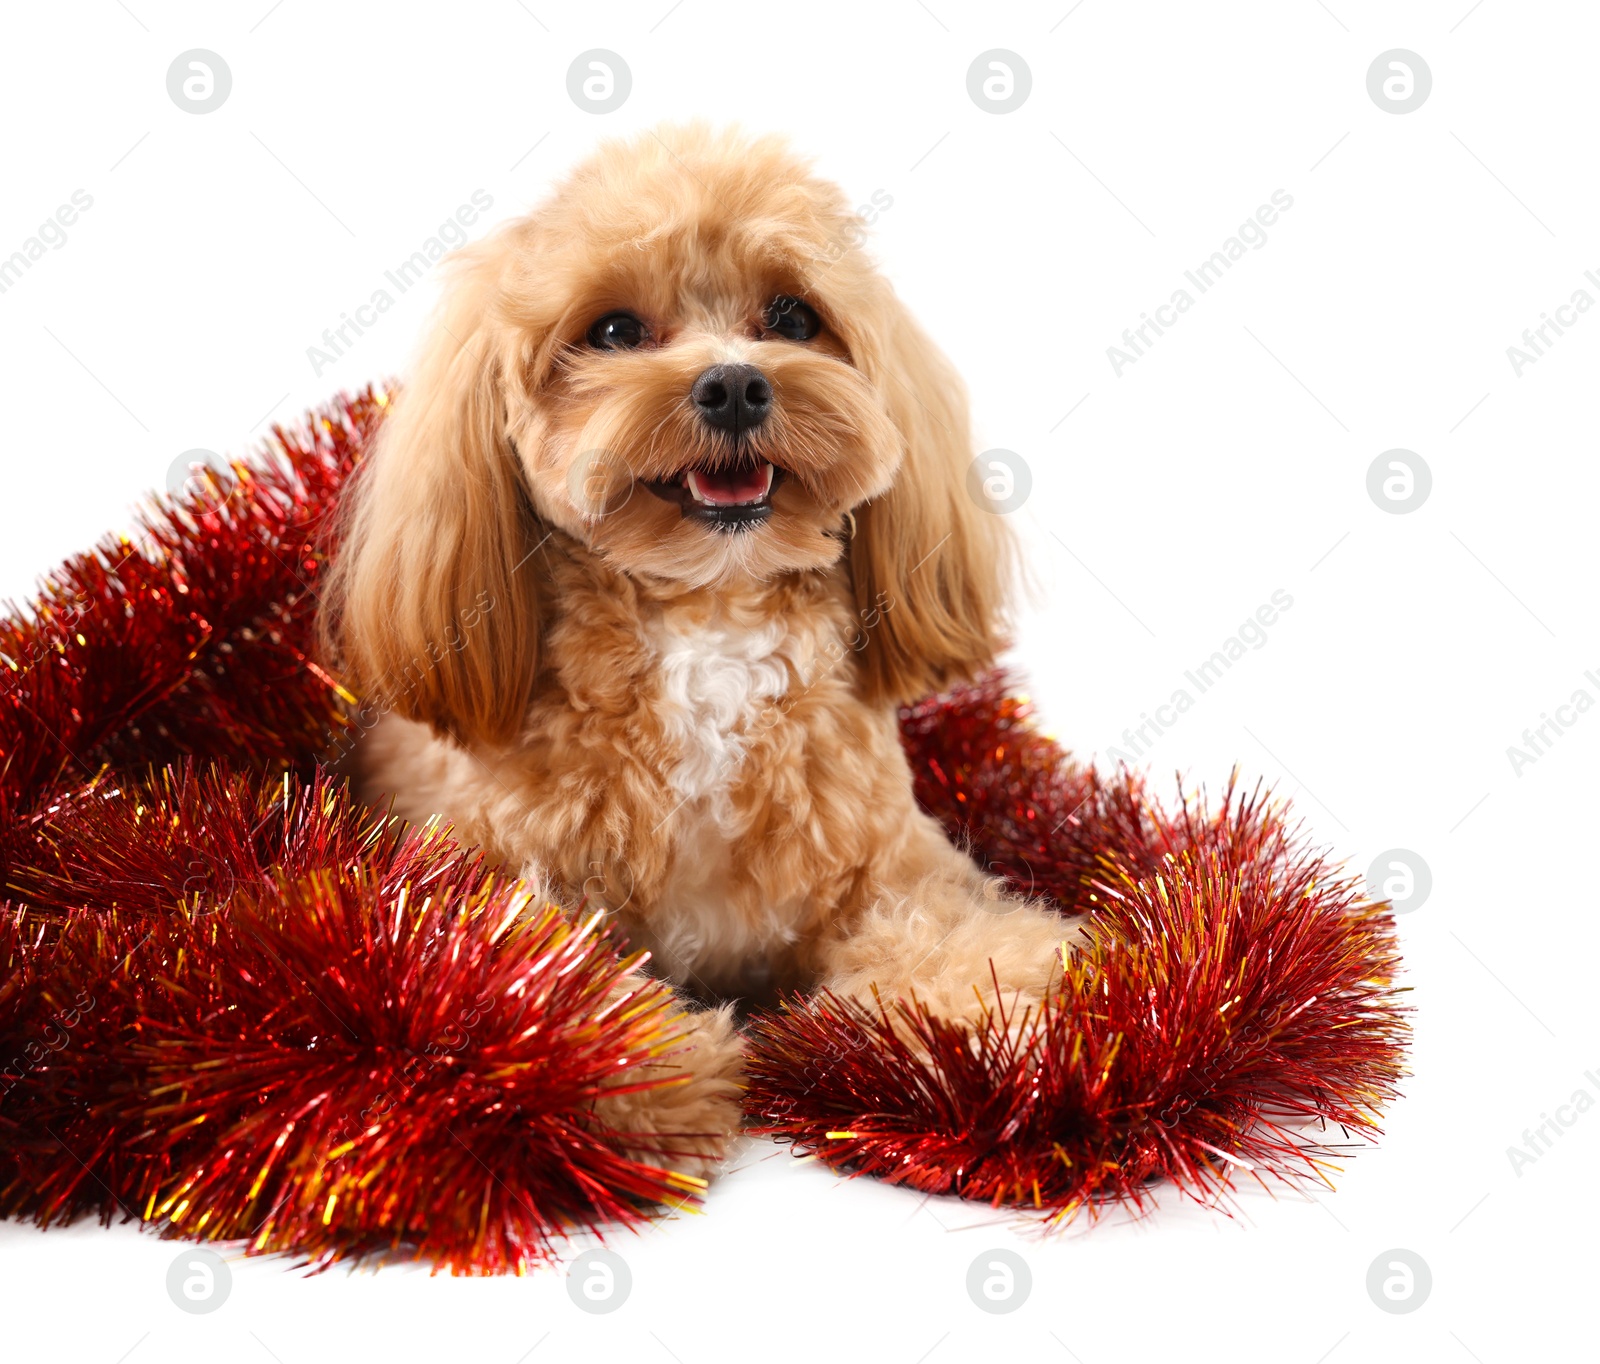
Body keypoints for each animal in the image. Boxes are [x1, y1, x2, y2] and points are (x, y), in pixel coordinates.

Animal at [320, 122, 1075, 1178]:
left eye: (792, 315)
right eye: (612, 332)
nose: (735, 382)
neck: (707, 622)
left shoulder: (894, 865)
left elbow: (955, 935)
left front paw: (974, 1025)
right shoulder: (484, 875)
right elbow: (531, 969)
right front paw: (647, 1064)